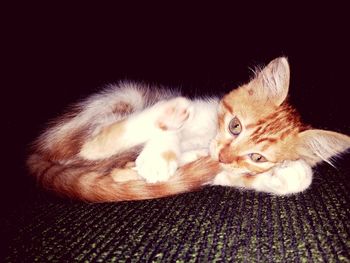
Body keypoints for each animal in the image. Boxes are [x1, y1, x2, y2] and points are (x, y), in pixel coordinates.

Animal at [28, 57, 350, 202]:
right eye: (235, 126)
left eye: (258, 157)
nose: (222, 156)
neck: (206, 137)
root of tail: (39, 152)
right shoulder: (201, 109)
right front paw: (158, 156)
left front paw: (288, 175)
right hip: (120, 98)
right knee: (89, 145)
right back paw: (169, 113)